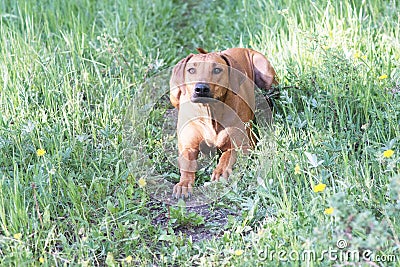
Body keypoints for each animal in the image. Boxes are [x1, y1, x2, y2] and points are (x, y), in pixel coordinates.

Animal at [169, 47, 278, 199]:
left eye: (217, 70)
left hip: (265, 72)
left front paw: (220, 171)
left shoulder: (243, 145)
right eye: (191, 70)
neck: (210, 113)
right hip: (173, 93)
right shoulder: (188, 147)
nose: (201, 88)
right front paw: (183, 184)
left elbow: (227, 156)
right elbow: (187, 165)